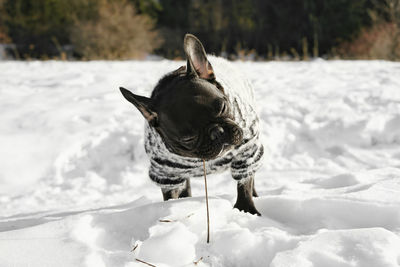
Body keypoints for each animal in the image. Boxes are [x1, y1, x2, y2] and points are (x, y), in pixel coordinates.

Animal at [119, 34, 262, 217]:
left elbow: (244, 183)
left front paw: (246, 209)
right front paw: (172, 211)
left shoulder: (246, 152)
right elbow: (171, 195)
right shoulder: (166, 174)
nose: (217, 132)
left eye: (223, 107)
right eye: (188, 138)